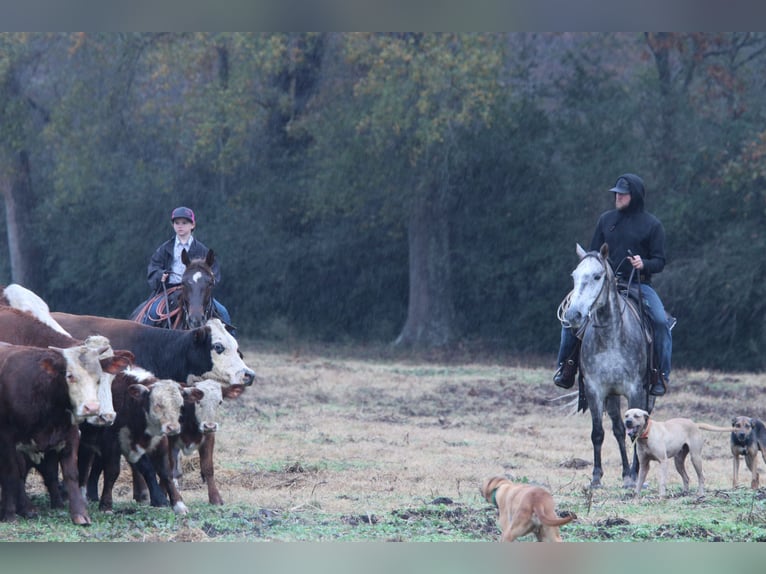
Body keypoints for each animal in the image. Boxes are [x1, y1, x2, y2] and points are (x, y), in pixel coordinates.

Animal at [0, 342, 108, 528]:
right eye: (70, 376)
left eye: (98, 378)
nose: (92, 408)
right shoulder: (7, 439)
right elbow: (11, 473)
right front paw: (9, 514)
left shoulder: (71, 435)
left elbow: (71, 474)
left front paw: (80, 514)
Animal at [560, 243, 656, 490]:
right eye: (574, 276)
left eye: (597, 276)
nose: (573, 314)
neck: (611, 336)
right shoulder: (595, 389)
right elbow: (598, 433)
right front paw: (596, 477)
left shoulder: (635, 389)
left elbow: (638, 431)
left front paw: (635, 476)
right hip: (612, 396)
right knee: (619, 429)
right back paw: (625, 473)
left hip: (649, 394)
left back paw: (635, 473)